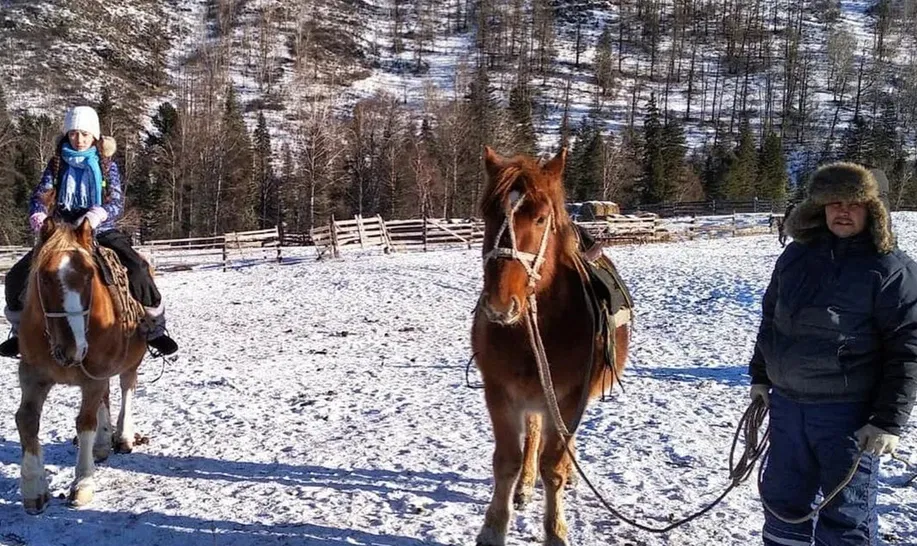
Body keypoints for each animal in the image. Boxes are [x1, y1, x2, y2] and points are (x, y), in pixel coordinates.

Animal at [16, 218, 148, 513]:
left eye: (89, 276)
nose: (73, 349)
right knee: (106, 397)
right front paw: (34, 488)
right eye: (44, 277)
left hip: (131, 361)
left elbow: (85, 422)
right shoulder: (32, 375)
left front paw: (83, 483)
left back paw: (123, 436)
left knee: (126, 388)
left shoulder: (92, 377)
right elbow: (26, 420)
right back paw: (102, 443)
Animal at [472, 147, 630, 546]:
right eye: (487, 214)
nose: (500, 304)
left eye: (541, 218)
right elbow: (507, 461)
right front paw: (493, 528)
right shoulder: (499, 391)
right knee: (534, 435)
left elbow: (554, 465)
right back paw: (525, 487)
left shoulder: (571, 396)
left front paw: (555, 531)